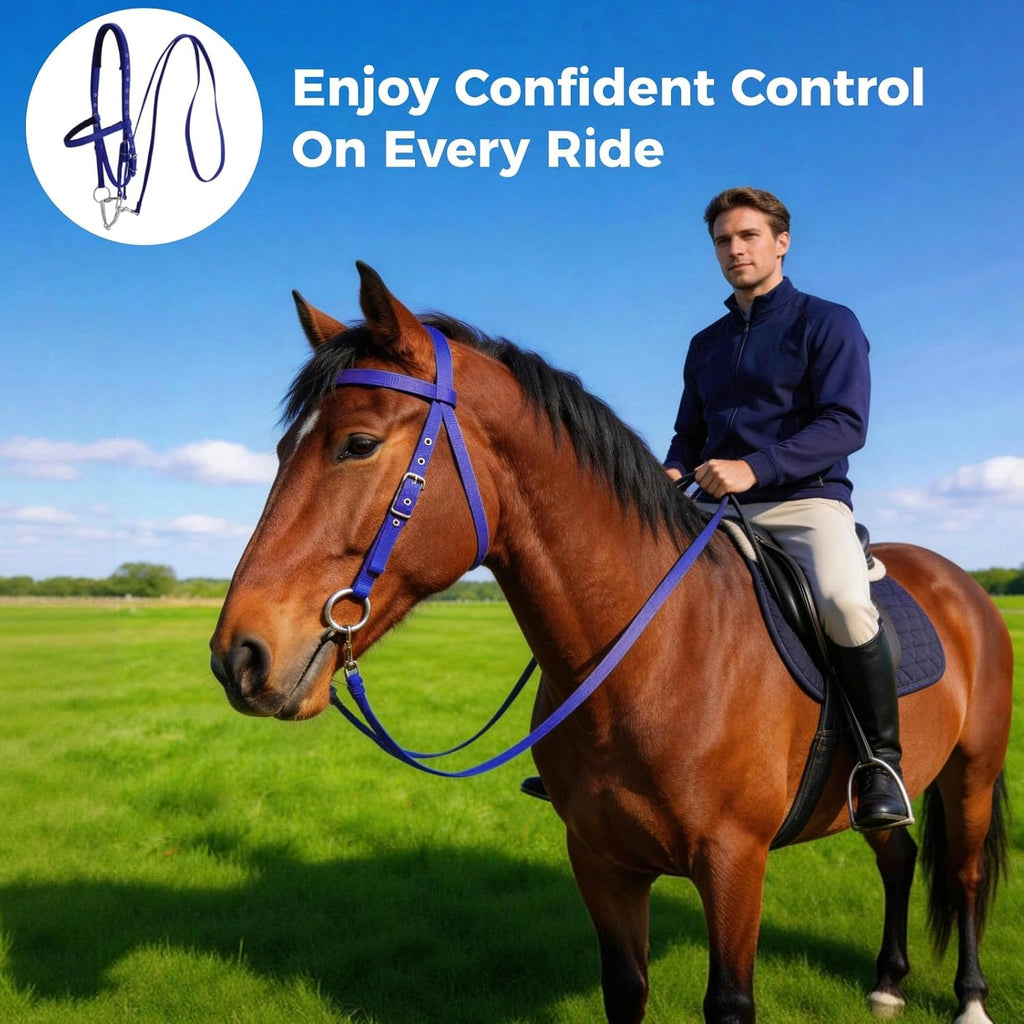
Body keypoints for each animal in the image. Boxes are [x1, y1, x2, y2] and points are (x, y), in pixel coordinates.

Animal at [209, 262, 1013, 1024]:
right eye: (280, 449)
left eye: (359, 444)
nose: (237, 656)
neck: (658, 653)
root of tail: (960, 583)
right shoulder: (601, 861)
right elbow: (625, 989)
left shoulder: (734, 863)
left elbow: (730, 1001)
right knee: (899, 852)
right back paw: (887, 984)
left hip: (970, 772)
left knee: (965, 874)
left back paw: (970, 999)